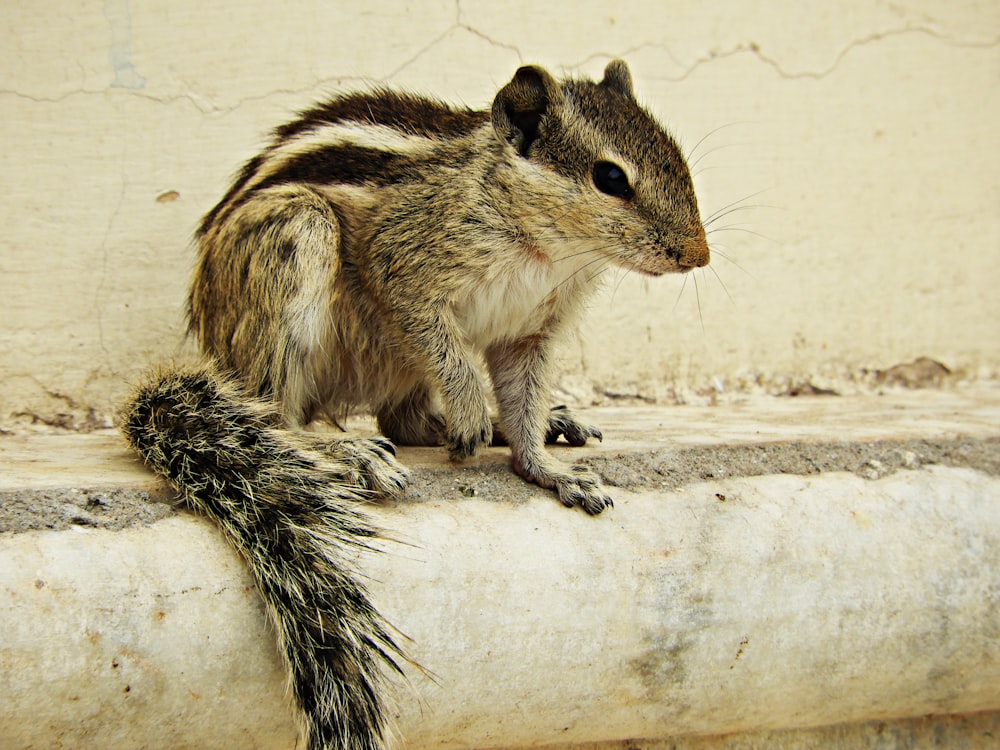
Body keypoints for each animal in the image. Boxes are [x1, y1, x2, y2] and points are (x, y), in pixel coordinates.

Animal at [119, 60, 712, 750]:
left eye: (676, 156)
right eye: (610, 178)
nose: (698, 254)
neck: (546, 246)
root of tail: (212, 342)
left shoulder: (531, 332)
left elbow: (524, 396)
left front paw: (544, 464)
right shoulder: (405, 267)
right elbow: (444, 346)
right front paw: (469, 408)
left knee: (401, 418)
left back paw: (522, 426)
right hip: (293, 240)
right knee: (274, 408)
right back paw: (346, 448)